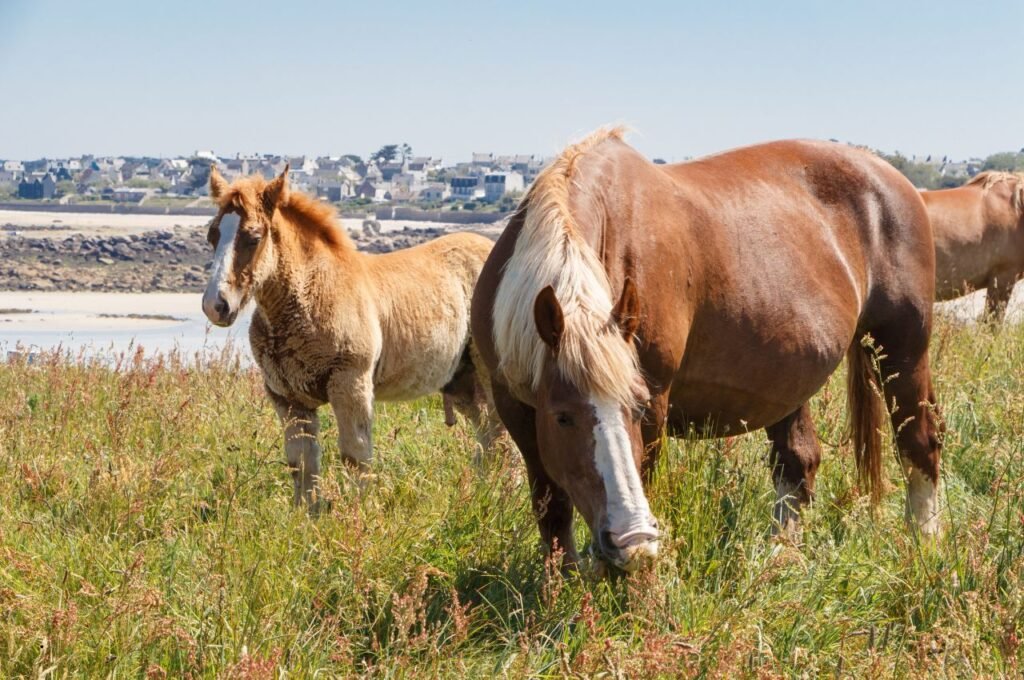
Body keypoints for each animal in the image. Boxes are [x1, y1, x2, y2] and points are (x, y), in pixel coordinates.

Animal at [202, 166, 502, 507]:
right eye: (212, 235)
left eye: (253, 238)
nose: (215, 305)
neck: (312, 292)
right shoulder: (286, 396)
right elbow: (302, 464)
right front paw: (306, 515)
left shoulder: (350, 383)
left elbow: (355, 456)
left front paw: (357, 513)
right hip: (462, 379)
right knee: (487, 433)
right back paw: (483, 491)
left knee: (501, 432)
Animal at [471, 128, 943, 572]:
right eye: (563, 417)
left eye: (636, 408)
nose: (631, 540)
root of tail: (894, 181)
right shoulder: (517, 408)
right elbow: (551, 508)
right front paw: (561, 584)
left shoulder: (654, 401)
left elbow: (642, 478)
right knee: (798, 462)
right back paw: (782, 555)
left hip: (902, 348)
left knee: (919, 443)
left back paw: (924, 542)